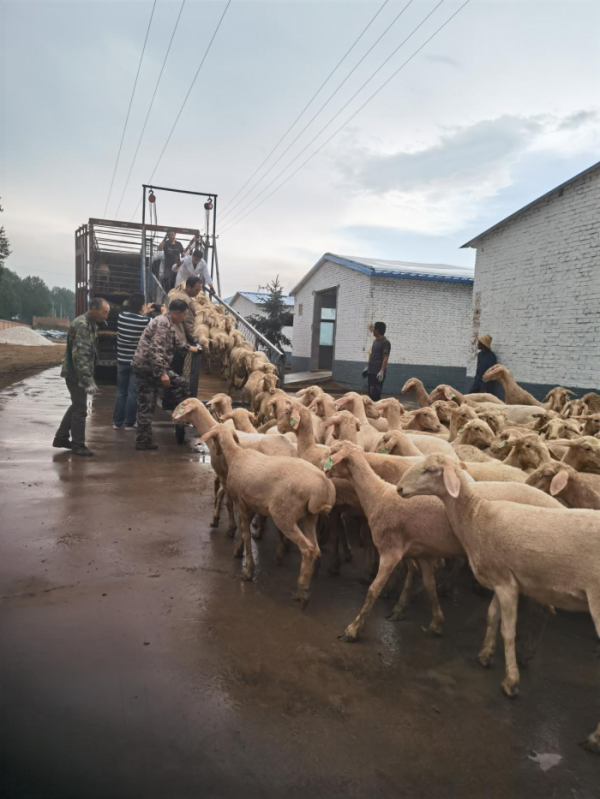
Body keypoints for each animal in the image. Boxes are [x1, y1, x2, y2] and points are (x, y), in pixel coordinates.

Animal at [199, 424, 336, 608]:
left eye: (213, 438)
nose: (216, 451)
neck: (236, 454)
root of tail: (324, 489)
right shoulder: (252, 503)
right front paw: (239, 550)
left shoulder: (241, 502)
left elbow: (246, 533)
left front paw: (248, 570)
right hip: (310, 516)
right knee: (316, 548)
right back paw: (309, 579)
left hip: (284, 515)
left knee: (307, 549)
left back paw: (302, 592)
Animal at [396, 454, 596, 752]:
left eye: (431, 470)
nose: (398, 489)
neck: (477, 512)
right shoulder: (501, 579)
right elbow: (492, 615)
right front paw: (485, 655)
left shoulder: (506, 583)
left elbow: (507, 630)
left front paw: (510, 681)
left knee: (544, 612)